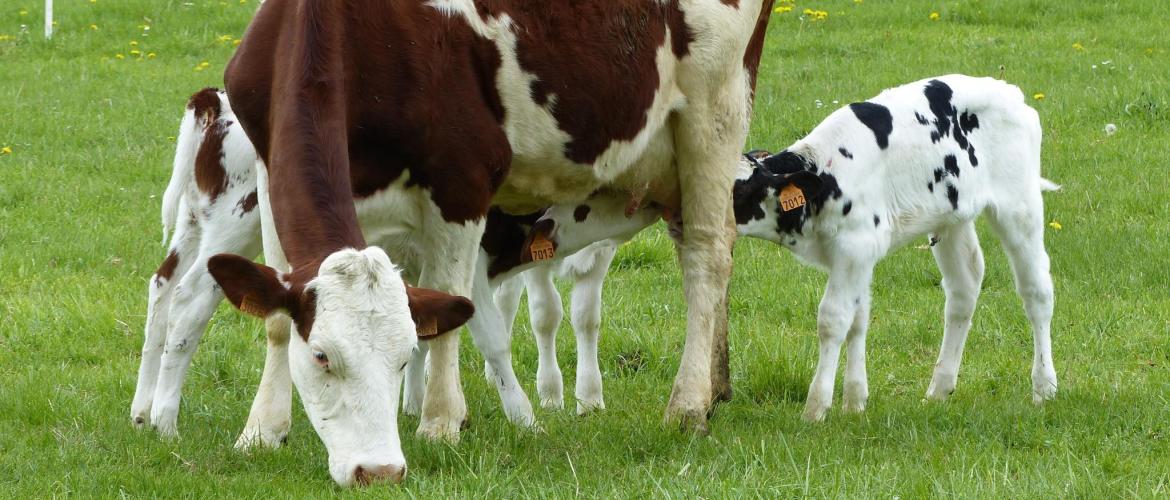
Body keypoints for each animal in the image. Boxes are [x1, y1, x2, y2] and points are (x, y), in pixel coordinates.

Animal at [200, 0, 772, 487]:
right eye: (320, 356)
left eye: (404, 356)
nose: (378, 472)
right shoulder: (268, 169)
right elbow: (276, 320)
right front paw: (262, 430)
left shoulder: (463, 180)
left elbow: (454, 312)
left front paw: (441, 422)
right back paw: (717, 386)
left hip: (714, 110)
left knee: (706, 253)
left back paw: (690, 404)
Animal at [739, 74, 1062, 423]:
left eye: (738, 191)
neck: (827, 174)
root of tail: (1008, 90)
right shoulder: (860, 256)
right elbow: (858, 319)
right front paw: (855, 401)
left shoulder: (853, 248)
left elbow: (833, 320)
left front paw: (816, 407)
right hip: (951, 216)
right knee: (965, 286)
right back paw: (940, 388)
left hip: (1019, 205)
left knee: (1036, 291)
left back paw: (1044, 387)